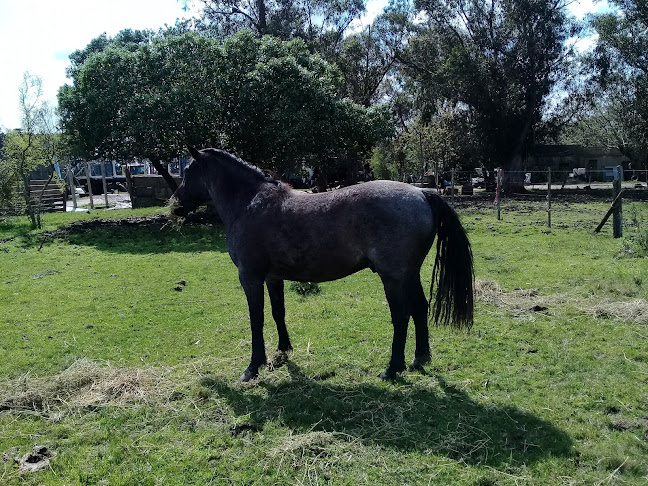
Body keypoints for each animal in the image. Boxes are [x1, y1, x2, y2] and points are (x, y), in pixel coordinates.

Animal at [171, 146, 476, 382]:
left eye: (187, 172)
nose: (175, 204)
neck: (250, 203)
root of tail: (421, 194)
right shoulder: (272, 277)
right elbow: (278, 313)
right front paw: (283, 351)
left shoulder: (250, 277)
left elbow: (256, 319)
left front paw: (253, 367)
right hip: (409, 274)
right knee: (420, 309)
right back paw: (419, 359)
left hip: (393, 277)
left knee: (401, 317)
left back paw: (392, 368)